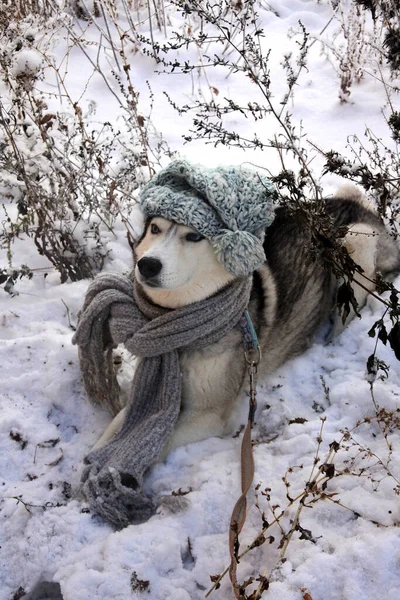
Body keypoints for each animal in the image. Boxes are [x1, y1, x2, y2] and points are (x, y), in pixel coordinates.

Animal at [93, 188, 400, 454]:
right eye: (155, 229)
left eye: (193, 236)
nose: (147, 264)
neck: (180, 324)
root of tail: (359, 204)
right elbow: (116, 426)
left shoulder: (208, 415)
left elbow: (158, 443)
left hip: (355, 246)